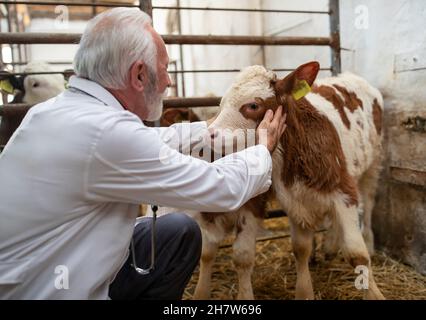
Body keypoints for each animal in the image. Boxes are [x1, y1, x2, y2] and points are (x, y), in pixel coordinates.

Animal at [197, 62, 386, 300]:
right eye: (221, 104)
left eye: (253, 105)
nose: (209, 134)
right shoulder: (293, 199)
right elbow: (301, 249)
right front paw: (304, 291)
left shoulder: (343, 190)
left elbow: (356, 254)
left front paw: (374, 294)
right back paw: (331, 246)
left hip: (374, 162)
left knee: (368, 203)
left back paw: (368, 242)